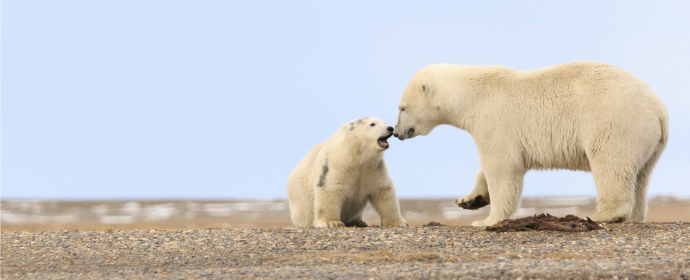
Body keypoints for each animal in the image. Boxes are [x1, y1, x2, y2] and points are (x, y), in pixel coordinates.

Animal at [392, 61, 668, 228]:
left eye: (402, 108)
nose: (396, 132)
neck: (472, 96)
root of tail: (658, 109)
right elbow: (491, 168)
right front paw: (469, 200)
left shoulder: (494, 120)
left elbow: (502, 167)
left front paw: (486, 221)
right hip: (649, 141)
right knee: (641, 177)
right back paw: (634, 216)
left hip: (614, 123)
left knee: (610, 164)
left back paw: (601, 214)